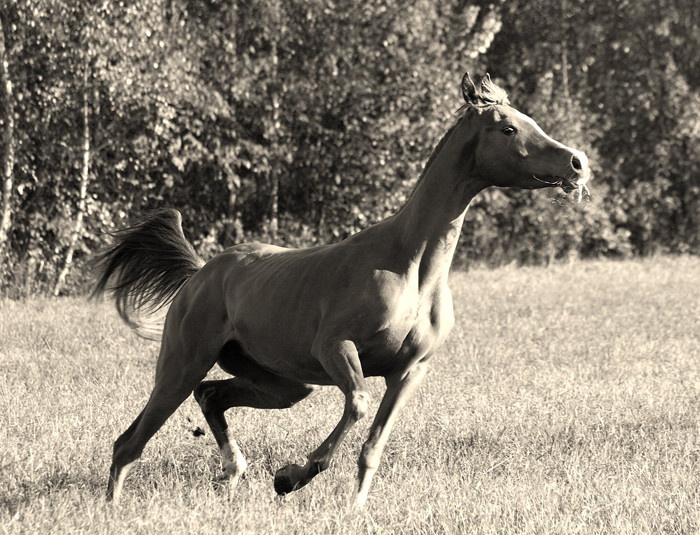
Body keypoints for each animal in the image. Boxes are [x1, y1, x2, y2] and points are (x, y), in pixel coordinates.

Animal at [93, 72, 591, 506]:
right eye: (508, 128)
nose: (578, 162)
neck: (411, 268)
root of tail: (199, 273)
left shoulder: (409, 371)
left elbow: (372, 447)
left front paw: (352, 509)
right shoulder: (336, 347)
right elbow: (357, 405)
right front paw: (290, 477)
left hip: (283, 386)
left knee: (211, 396)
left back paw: (233, 471)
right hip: (182, 364)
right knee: (129, 442)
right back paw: (116, 506)